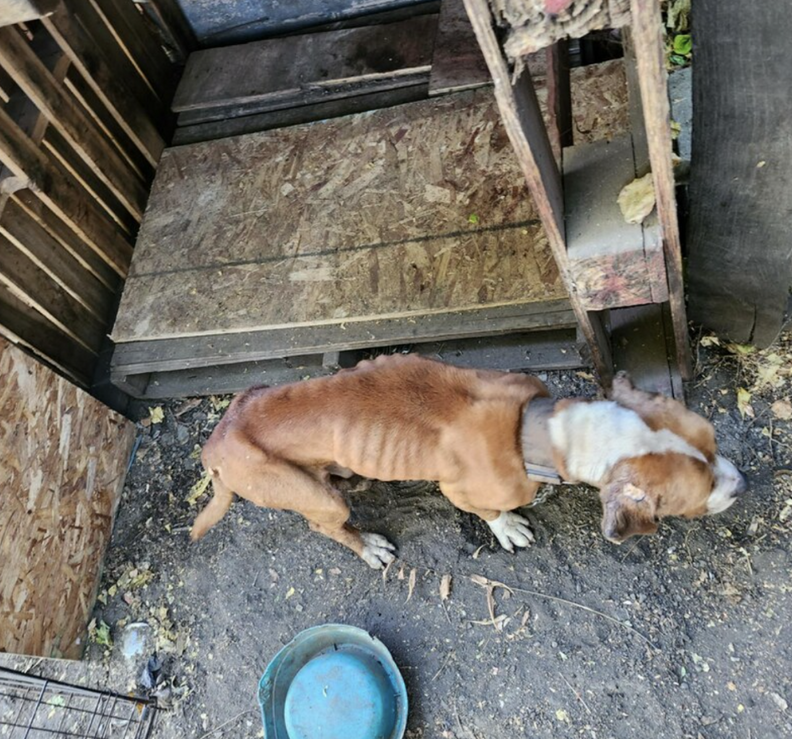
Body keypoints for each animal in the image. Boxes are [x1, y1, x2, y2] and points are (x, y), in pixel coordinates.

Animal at [191, 354, 746, 568]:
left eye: (714, 442)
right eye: (695, 498)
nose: (742, 484)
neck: (542, 431)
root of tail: (215, 444)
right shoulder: (460, 491)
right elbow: (491, 513)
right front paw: (508, 527)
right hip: (310, 497)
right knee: (325, 524)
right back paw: (366, 544)